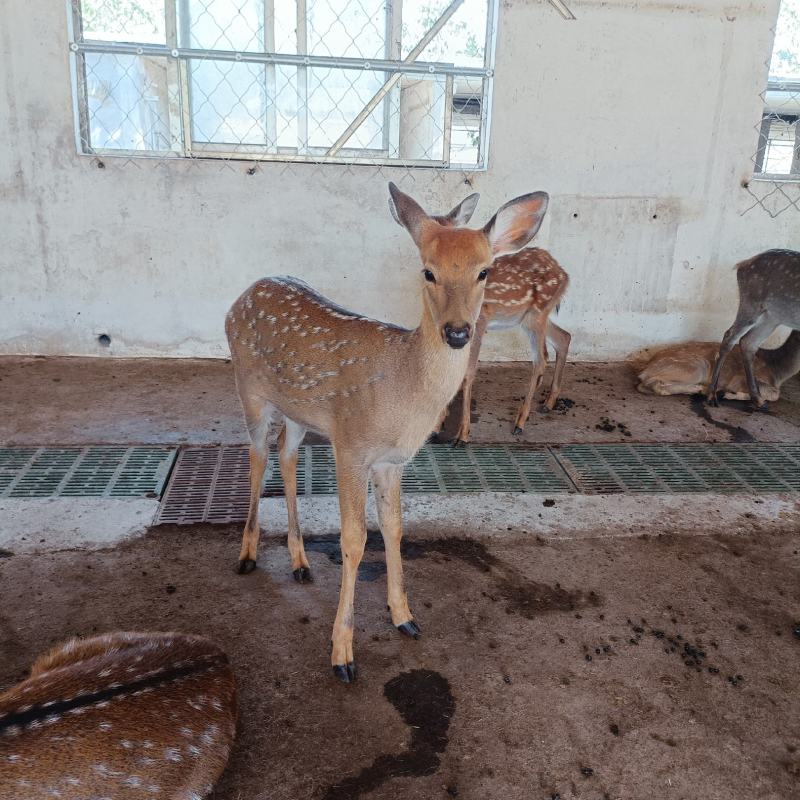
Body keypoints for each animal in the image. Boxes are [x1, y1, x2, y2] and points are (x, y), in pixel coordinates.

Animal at [225, 182, 549, 683]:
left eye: (485, 271)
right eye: (428, 271)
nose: (458, 332)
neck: (402, 391)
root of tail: (243, 294)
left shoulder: (392, 460)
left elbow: (394, 528)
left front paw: (405, 617)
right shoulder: (351, 446)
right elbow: (354, 540)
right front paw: (342, 654)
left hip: (298, 411)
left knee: (286, 454)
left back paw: (299, 561)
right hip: (250, 390)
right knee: (257, 457)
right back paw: (247, 554)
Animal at [405, 198, 570, 443]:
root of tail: (564, 275)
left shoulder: (479, 322)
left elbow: (467, 373)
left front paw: (462, 434)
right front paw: (437, 426)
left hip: (537, 315)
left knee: (541, 360)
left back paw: (520, 422)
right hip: (530, 316)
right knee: (563, 338)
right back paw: (548, 402)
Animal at [636, 331, 800, 400]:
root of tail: (645, 368)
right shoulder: (739, 379)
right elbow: (774, 394)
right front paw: (728, 393)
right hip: (697, 367)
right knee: (652, 383)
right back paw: (699, 389)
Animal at [707, 249, 800, 408]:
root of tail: (742, 264)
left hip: (772, 316)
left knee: (748, 342)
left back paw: (758, 399)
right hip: (751, 303)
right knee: (730, 336)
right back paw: (712, 395)